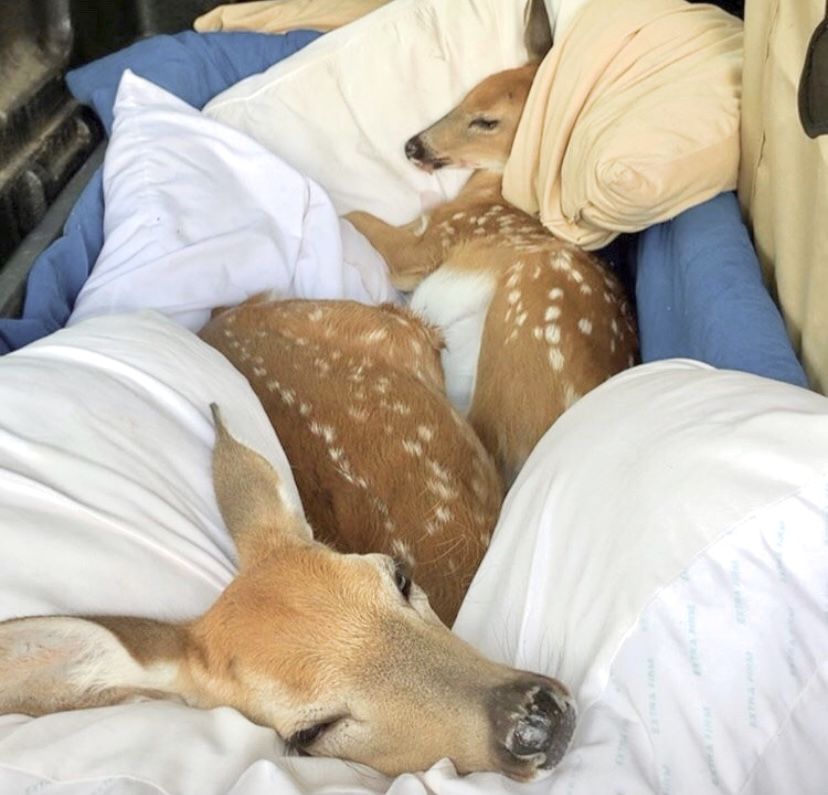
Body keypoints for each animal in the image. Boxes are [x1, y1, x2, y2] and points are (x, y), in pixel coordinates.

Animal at [346, 64, 638, 485]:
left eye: (486, 121)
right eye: (465, 98)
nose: (412, 146)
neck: (493, 192)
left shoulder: (429, 244)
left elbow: (355, 217)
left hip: (526, 311)